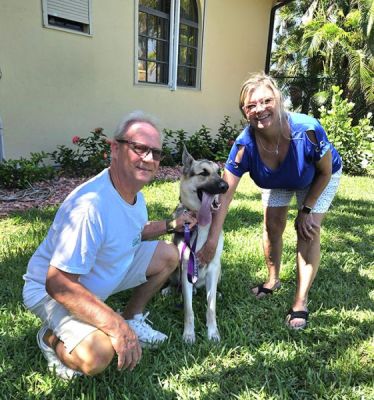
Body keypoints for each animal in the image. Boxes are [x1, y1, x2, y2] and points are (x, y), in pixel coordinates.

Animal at [166, 147, 228, 344]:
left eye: (219, 172)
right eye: (204, 173)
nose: (225, 186)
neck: (200, 223)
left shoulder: (214, 266)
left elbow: (211, 307)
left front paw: (212, 332)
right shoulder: (186, 266)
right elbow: (189, 310)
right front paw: (189, 334)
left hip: (219, 271)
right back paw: (168, 290)